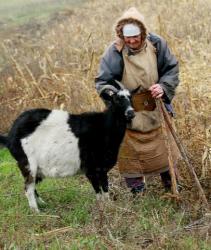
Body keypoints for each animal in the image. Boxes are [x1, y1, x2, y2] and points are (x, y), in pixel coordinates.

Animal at [0, 81, 135, 211]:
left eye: (130, 98)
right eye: (117, 99)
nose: (131, 112)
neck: (104, 127)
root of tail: (10, 136)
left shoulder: (100, 170)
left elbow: (104, 191)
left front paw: (107, 207)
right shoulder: (91, 169)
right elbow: (100, 192)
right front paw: (106, 209)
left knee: (32, 187)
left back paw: (43, 204)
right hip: (28, 163)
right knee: (28, 188)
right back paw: (36, 212)